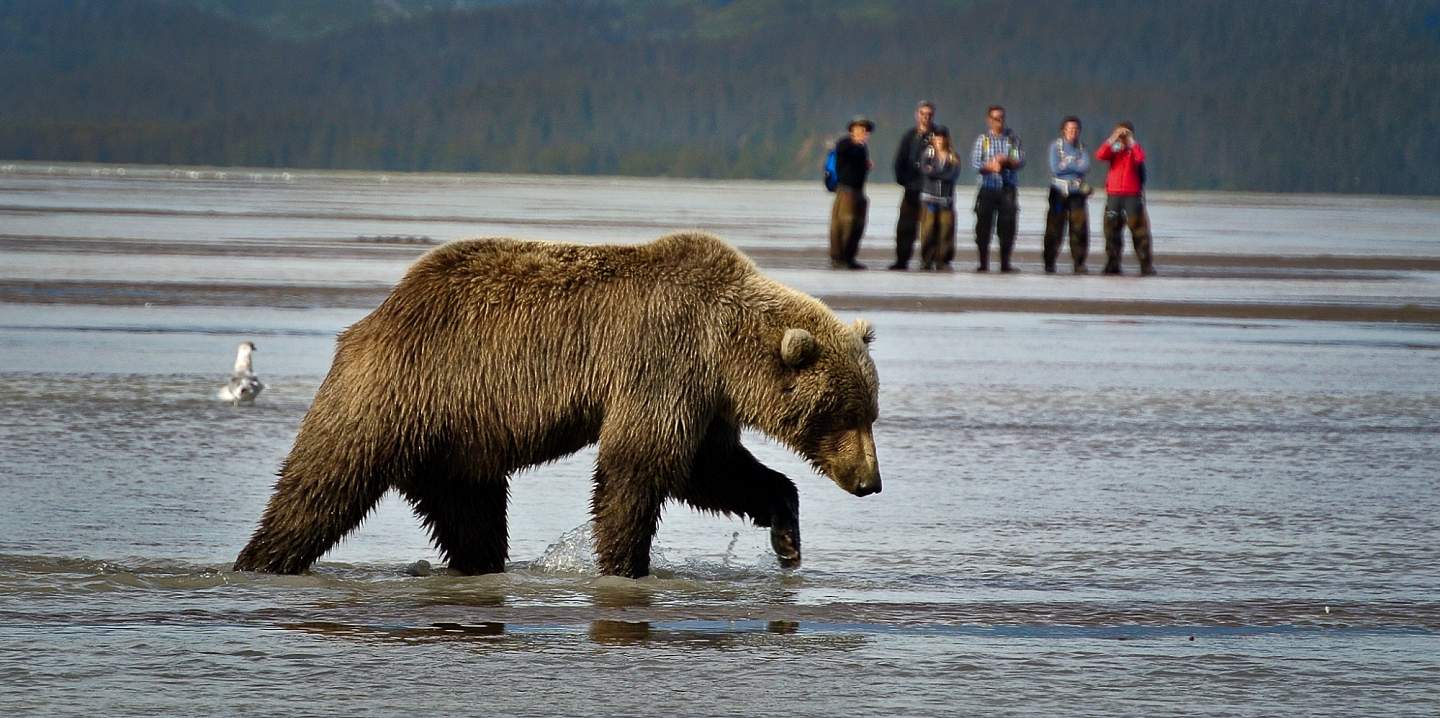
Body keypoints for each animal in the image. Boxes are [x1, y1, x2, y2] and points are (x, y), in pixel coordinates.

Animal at [236, 230, 875, 578]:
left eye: (869, 413)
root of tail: (374, 319)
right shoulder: (663, 360)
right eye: (843, 415)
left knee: (470, 516)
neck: (725, 348)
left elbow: (714, 471)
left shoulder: (703, 399)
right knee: (319, 487)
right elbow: (638, 468)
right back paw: (259, 559)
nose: (871, 482)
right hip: (394, 394)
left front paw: (786, 535)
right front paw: (624, 563)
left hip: (456, 442)